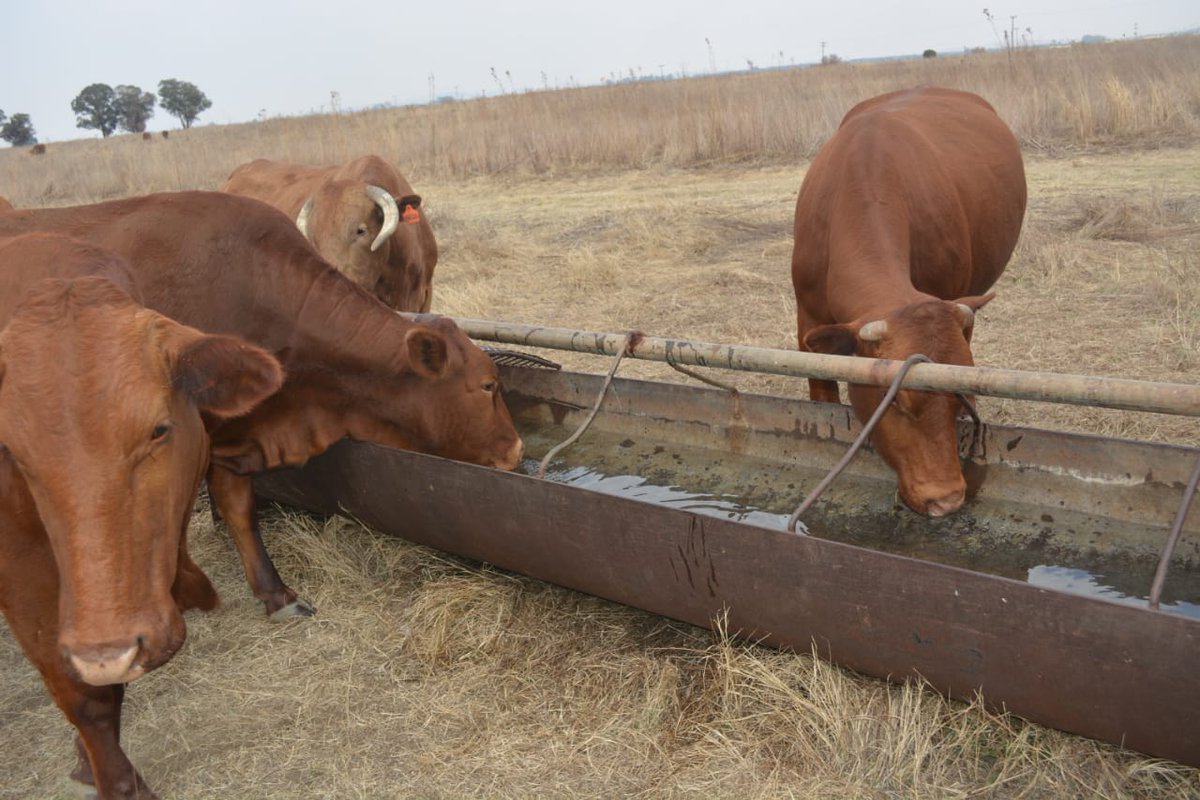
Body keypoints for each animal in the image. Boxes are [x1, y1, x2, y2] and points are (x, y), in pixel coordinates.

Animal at [0, 233, 284, 798]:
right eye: (11, 451)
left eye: (158, 430)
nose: (107, 652)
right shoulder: (19, 573)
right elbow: (86, 698)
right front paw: (111, 776)